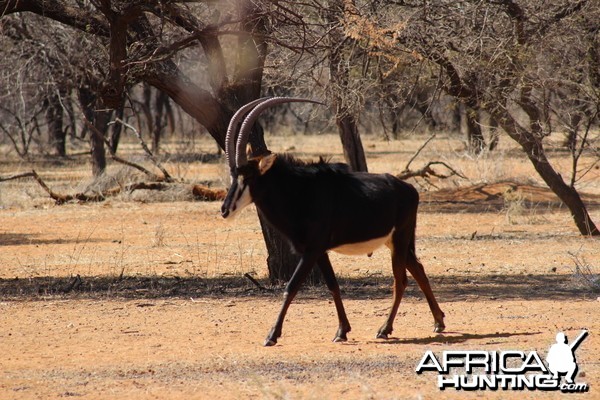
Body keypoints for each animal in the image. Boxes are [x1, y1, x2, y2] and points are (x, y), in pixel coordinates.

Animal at [221, 97, 446, 346]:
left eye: (248, 177)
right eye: (233, 176)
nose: (225, 210)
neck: (299, 191)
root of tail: (410, 189)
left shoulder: (312, 250)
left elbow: (291, 286)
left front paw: (272, 335)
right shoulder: (319, 252)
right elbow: (333, 285)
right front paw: (342, 330)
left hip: (400, 239)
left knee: (401, 281)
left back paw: (385, 329)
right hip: (396, 242)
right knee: (418, 269)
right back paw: (438, 322)